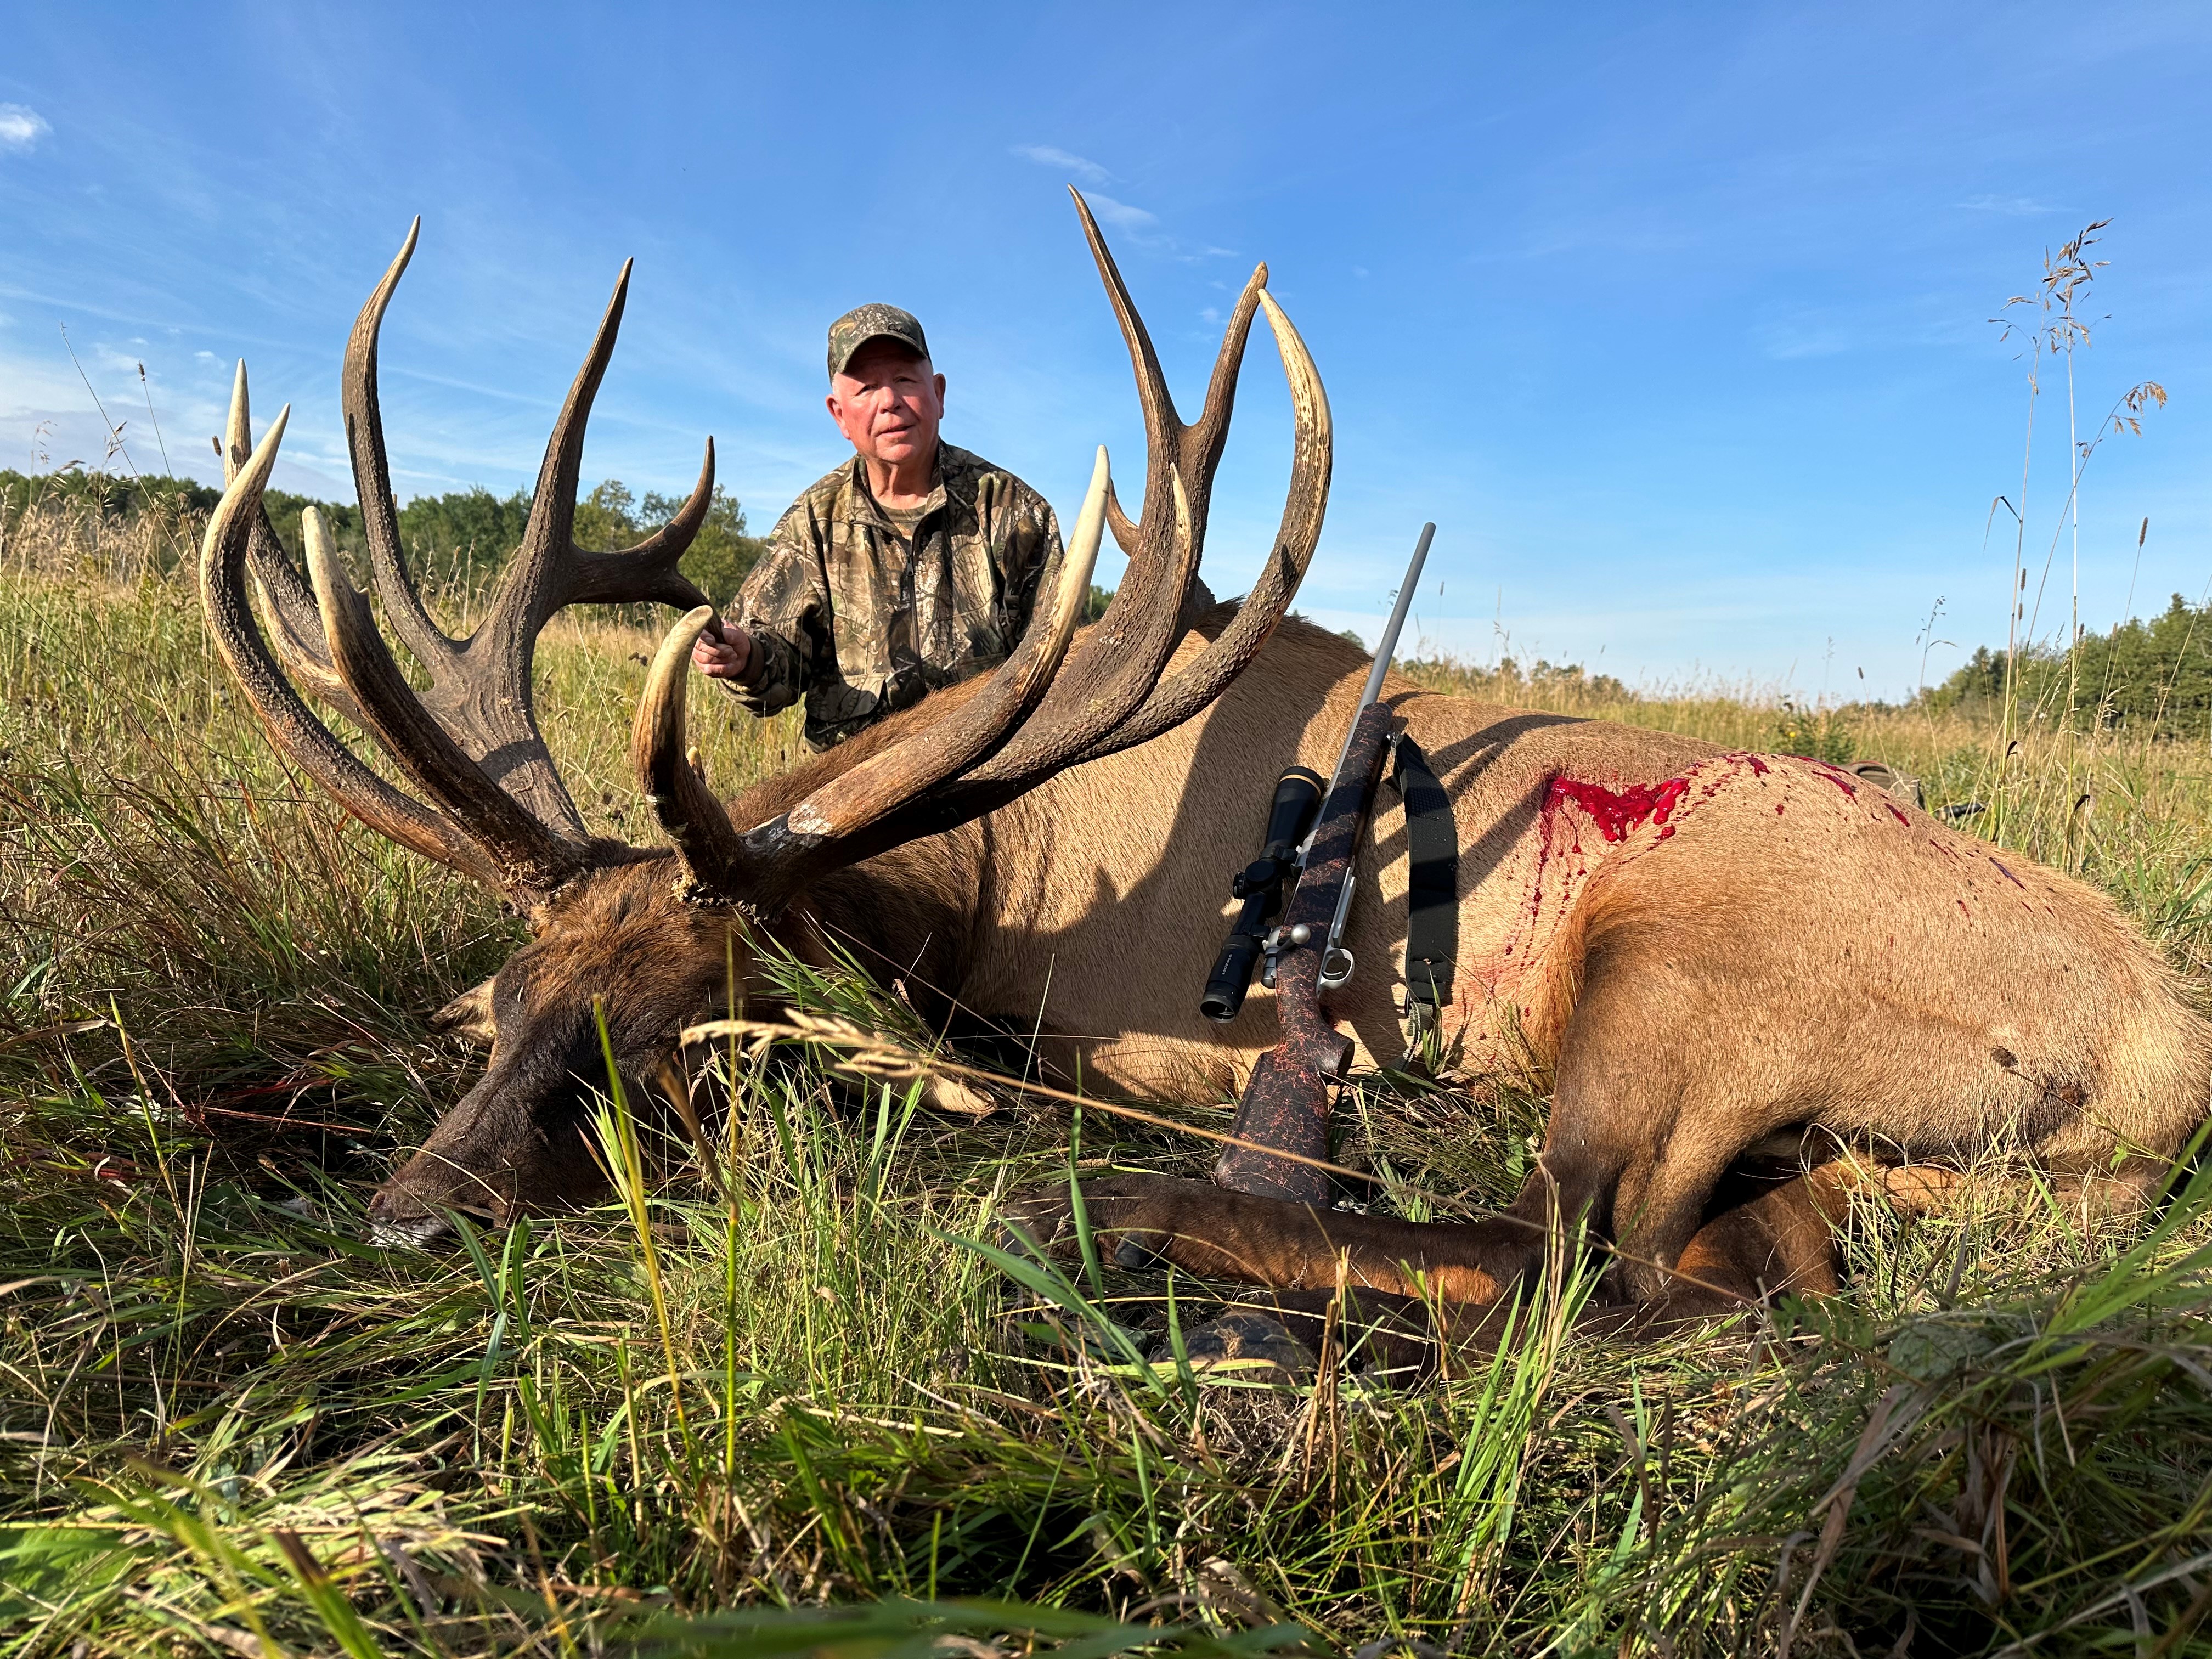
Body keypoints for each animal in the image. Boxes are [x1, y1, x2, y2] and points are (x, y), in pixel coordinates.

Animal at [198, 195, 2210, 1339]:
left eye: (701, 1029)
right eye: (508, 999)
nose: (417, 1216)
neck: (987, 875)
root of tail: (2159, 1063)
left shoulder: (1148, 1032)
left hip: (1685, 969)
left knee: (1579, 1252)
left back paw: (1137, 1211)